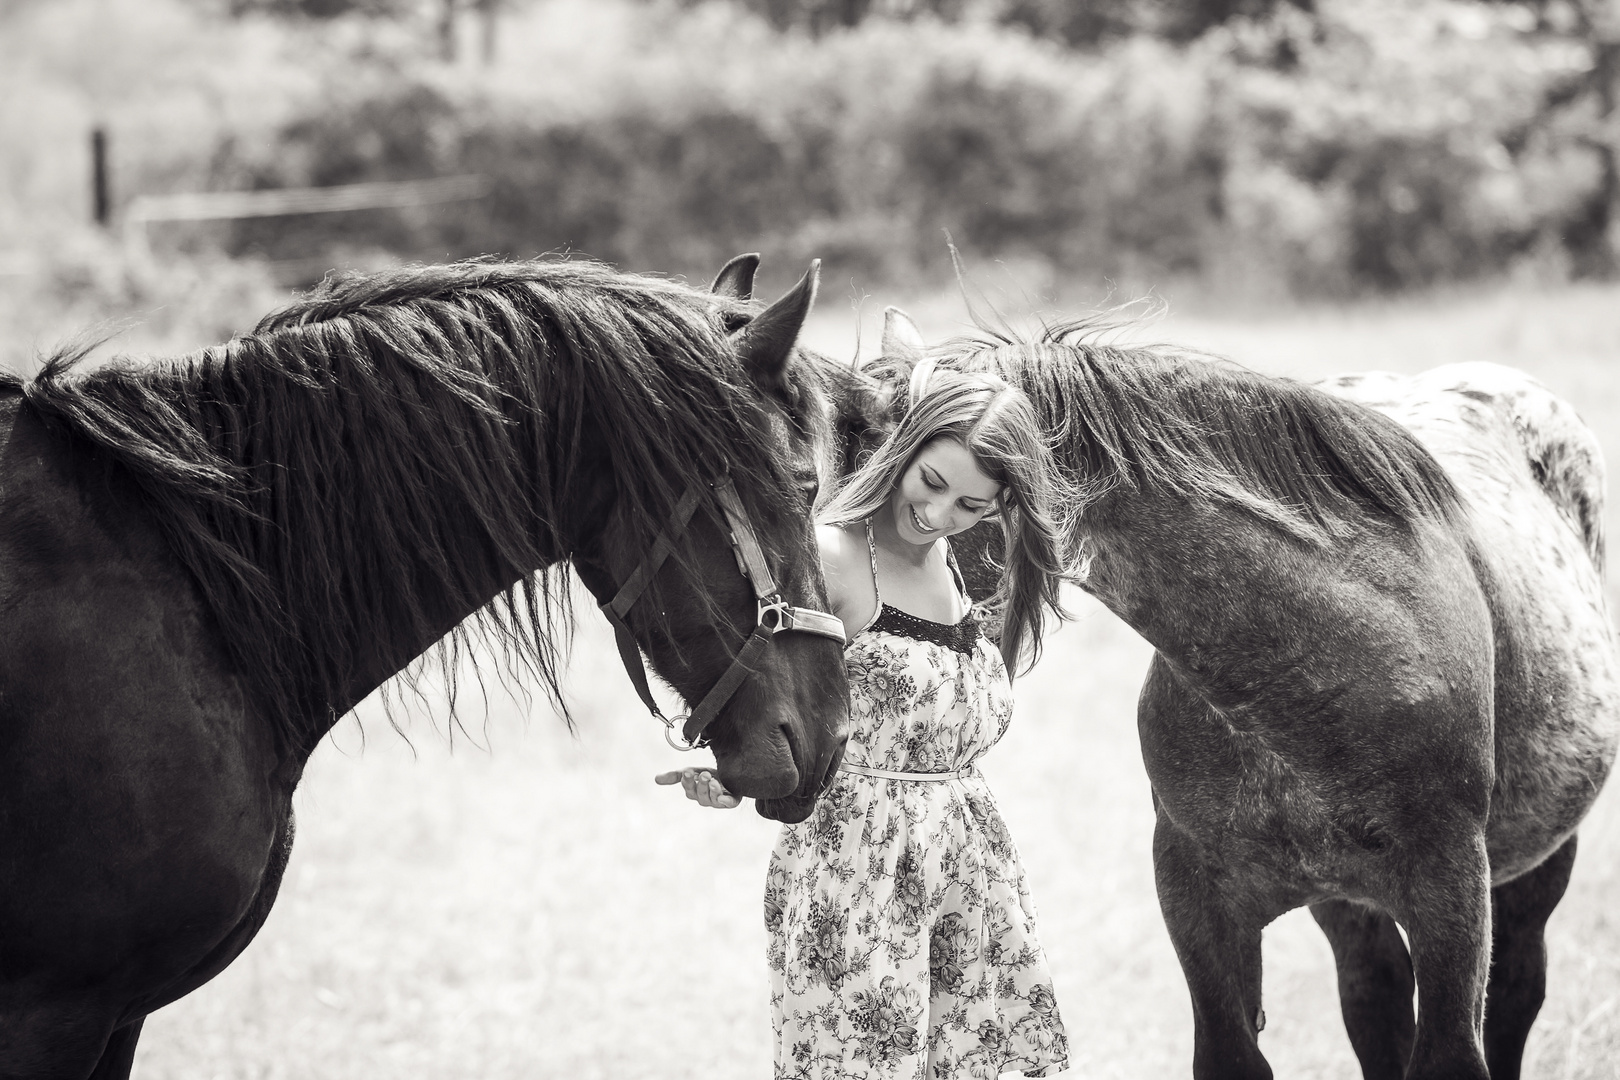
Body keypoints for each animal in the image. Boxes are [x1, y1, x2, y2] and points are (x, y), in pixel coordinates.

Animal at [881, 304, 1620, 1080]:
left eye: (924, 495)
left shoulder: (1451, 890)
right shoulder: (1197, 894)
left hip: (1535, 869)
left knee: (1513, 995)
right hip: (1350, 906)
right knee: (1376, 999)